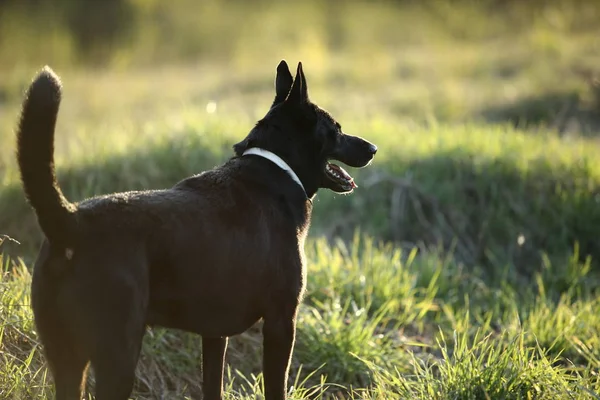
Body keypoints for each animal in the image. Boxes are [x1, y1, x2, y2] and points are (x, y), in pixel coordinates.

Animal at [17, 60, 376, 400]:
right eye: (336, 129)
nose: (372, 148)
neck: (275, 165)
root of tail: (70, 221)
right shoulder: (281, 321)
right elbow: (276, 388)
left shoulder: (215, 332)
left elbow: (212, 385)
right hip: (117, 353)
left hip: (65, 355)